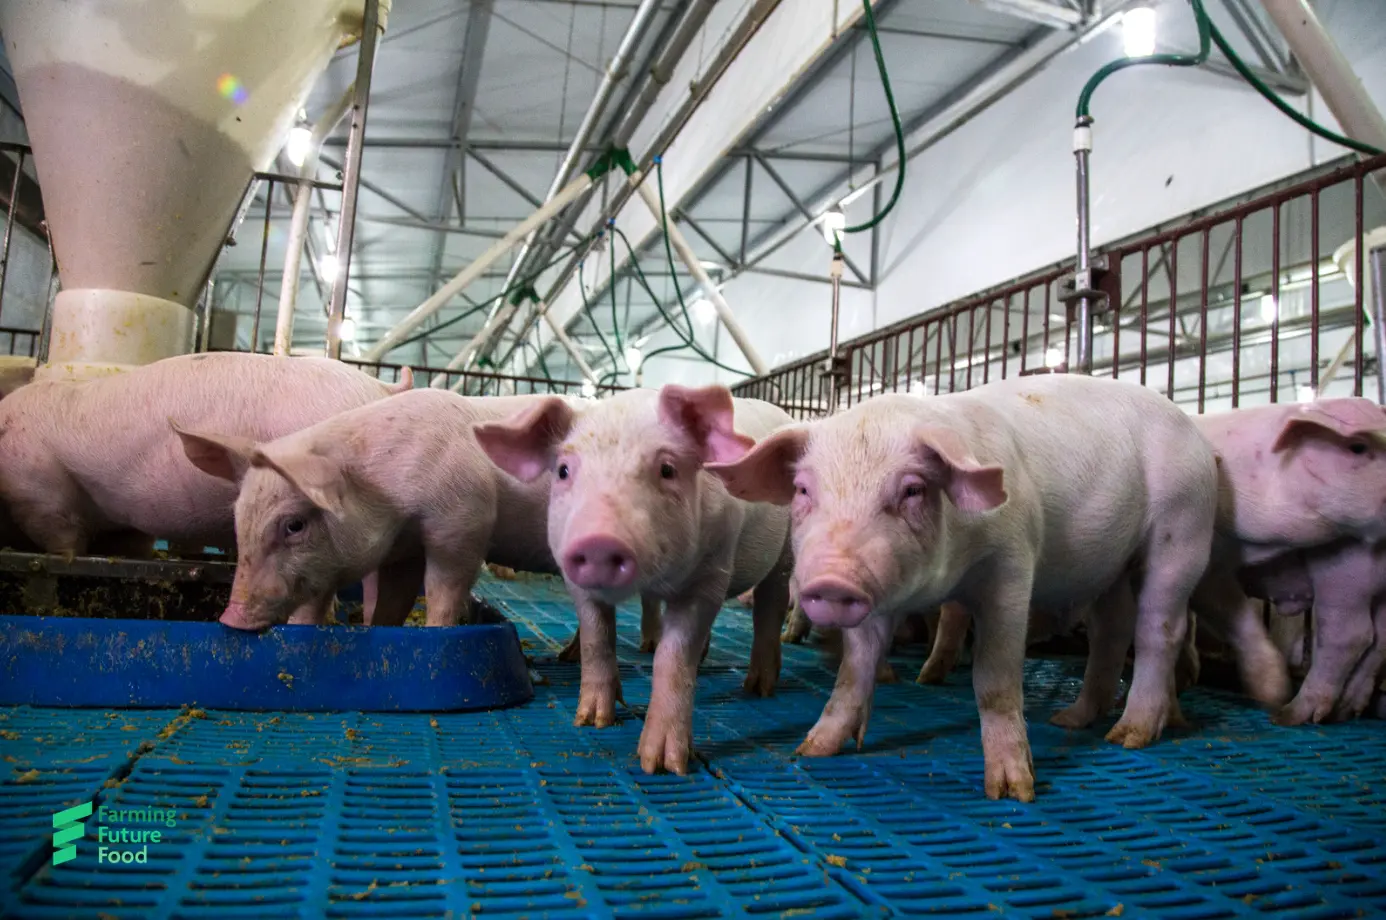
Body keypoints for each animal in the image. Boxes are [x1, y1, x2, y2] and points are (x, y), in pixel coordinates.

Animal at [173, 389, 560, 630]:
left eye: (294, 525)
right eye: (238, 519)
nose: (230, 619)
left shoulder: (464, 523)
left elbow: (443, 590)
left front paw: (435, 632)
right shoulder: (398, 551)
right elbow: (384, 599)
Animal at [473, 385, 794, 775]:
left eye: (667, 469)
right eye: (563, 471)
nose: (598, 540)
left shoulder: (710, 575)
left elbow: (673, 656)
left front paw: (662, 764)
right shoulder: (574, 576)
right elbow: (597, 637)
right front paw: (592, 721)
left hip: (787, 552)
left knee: (770, 606)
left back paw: (758, 688)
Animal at [706, 374, 1219, 802]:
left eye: (912, 489)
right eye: (803, 490)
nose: (832, 579)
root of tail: (1192, 430)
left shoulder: (1012, 564)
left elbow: (993, 677)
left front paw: (1012, 791)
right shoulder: (879, 598)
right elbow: (854, 670)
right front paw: (810, 749)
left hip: (1185, 526)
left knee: (1160, 628)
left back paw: (1129, 735)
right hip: (1108, 567)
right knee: (1111, 632)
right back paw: (1072, 720)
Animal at [1189, 398, 1386, 711]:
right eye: (1357, 447)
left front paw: (1271, 696)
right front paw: (1272, 693)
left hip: (1346, 573)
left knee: (1350, 633)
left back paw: (1294, 712)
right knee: (1376, 639)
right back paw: (1344, 708)